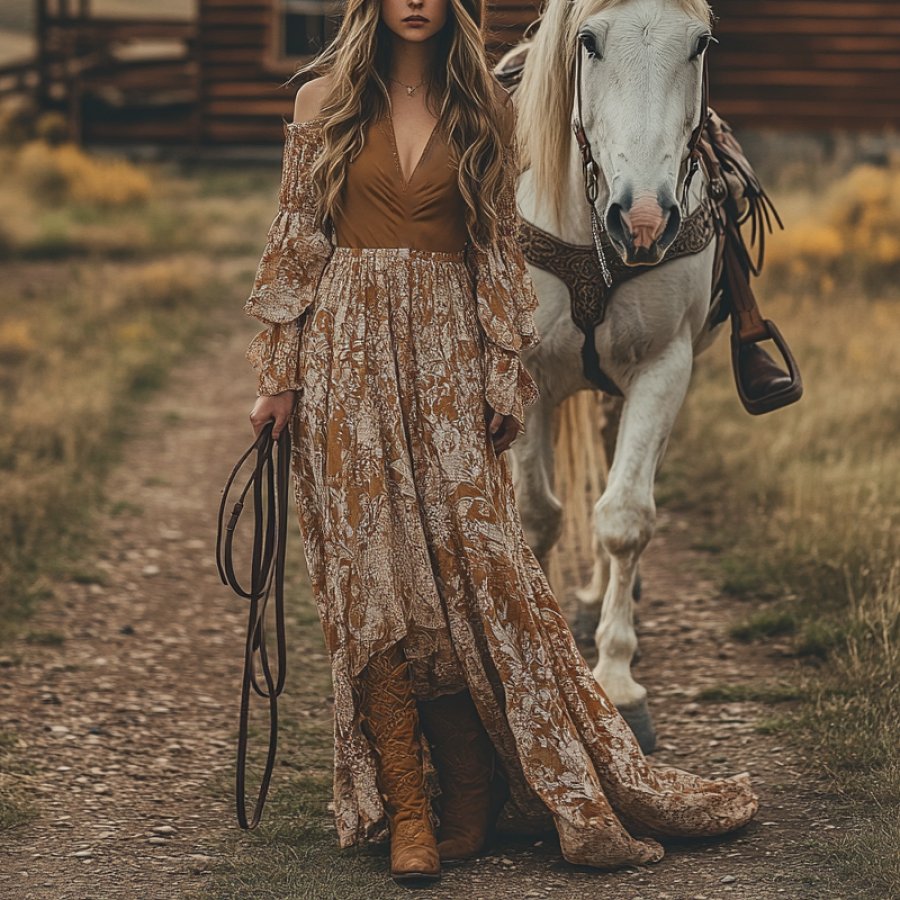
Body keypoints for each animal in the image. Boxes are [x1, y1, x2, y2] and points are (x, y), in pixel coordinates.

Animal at [510, 0, 728, 752]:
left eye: (700, 44)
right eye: (588, 41)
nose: (643, 220)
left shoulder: (665, 366)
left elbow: (624, 517)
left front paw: (616, 680)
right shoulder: (523, 375)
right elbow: (536, 516)